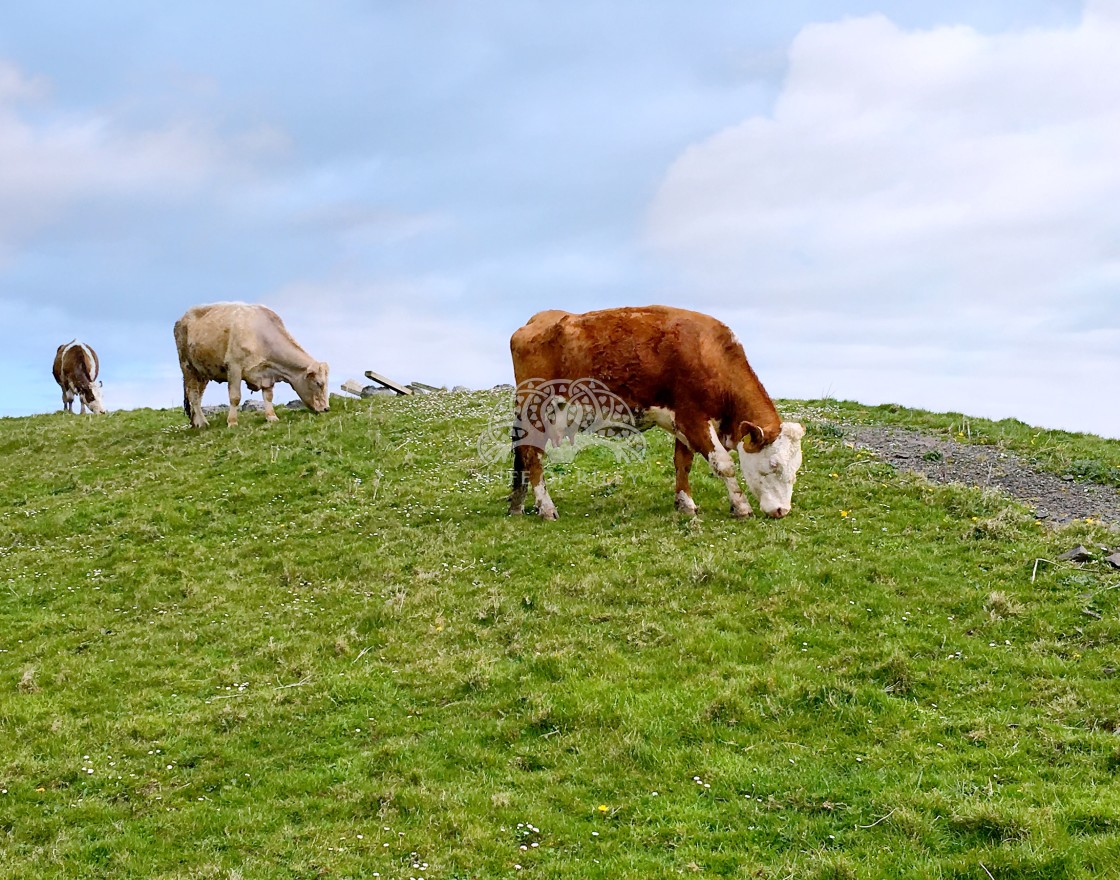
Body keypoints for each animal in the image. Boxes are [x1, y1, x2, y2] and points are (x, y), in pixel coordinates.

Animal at [170, 300, 327, 427]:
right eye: (318, 383)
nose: (326, 409)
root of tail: (182, 317)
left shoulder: (267, 373)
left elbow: (268, 396)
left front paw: (272, 417)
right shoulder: (234, 366)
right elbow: (235, 397)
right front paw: (232, 422)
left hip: (202, 372)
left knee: (198, 394)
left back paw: (196, 422)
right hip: (187, 366)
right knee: (193, 394)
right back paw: (203, 423)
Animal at [508, 304, 806, 517]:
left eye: (796, 467)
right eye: (773, 464)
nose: (782, 510)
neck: (710, 353)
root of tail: (535, 321)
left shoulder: (683, 421)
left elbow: (683, 462)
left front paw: (685, 503)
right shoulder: (693, 418)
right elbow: (724, 465)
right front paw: (741, 506)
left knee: (524, 455)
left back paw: (518, 505)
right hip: (536, 410)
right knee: (533, 456)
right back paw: (546, 507)